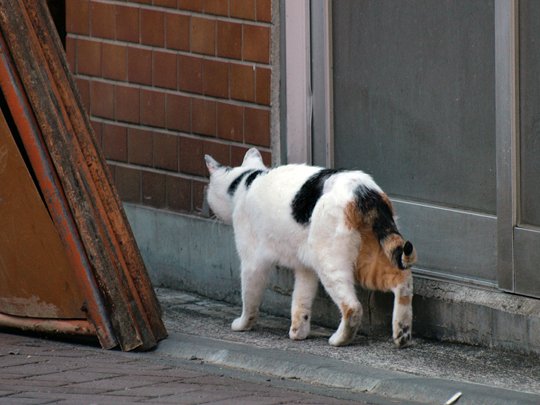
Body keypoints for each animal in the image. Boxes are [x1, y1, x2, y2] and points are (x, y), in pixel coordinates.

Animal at [205, 148, 416, 348]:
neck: (245, 181)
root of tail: (364, 192)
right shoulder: (304, 268)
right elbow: (301, 299)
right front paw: (298, 331)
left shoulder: (252, 262)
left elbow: (249, 297)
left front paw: (243, 324)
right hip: (368, 259)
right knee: (402, 281)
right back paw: (402, 333)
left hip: (330, 262)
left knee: (352, 307)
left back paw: (340, 339)